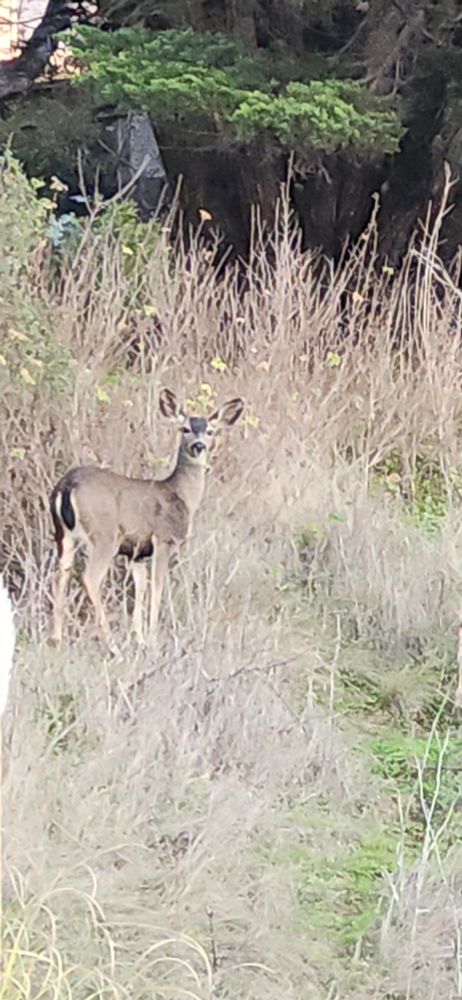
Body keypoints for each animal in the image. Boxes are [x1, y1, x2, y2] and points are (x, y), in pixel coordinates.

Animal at [49, 388, 244, 649]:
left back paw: (56, 639)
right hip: (104, 535)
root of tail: (68, 485)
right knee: (89, 578)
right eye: (184, 429)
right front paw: (151, 639)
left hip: (64, 535)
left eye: (210, 431)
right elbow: (157, 588)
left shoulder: (137, 553)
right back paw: (111, 644)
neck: (182, 495)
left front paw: (139, 638)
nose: (199, 445)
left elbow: (140, 588)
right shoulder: (163, 539)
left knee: (60, 576)